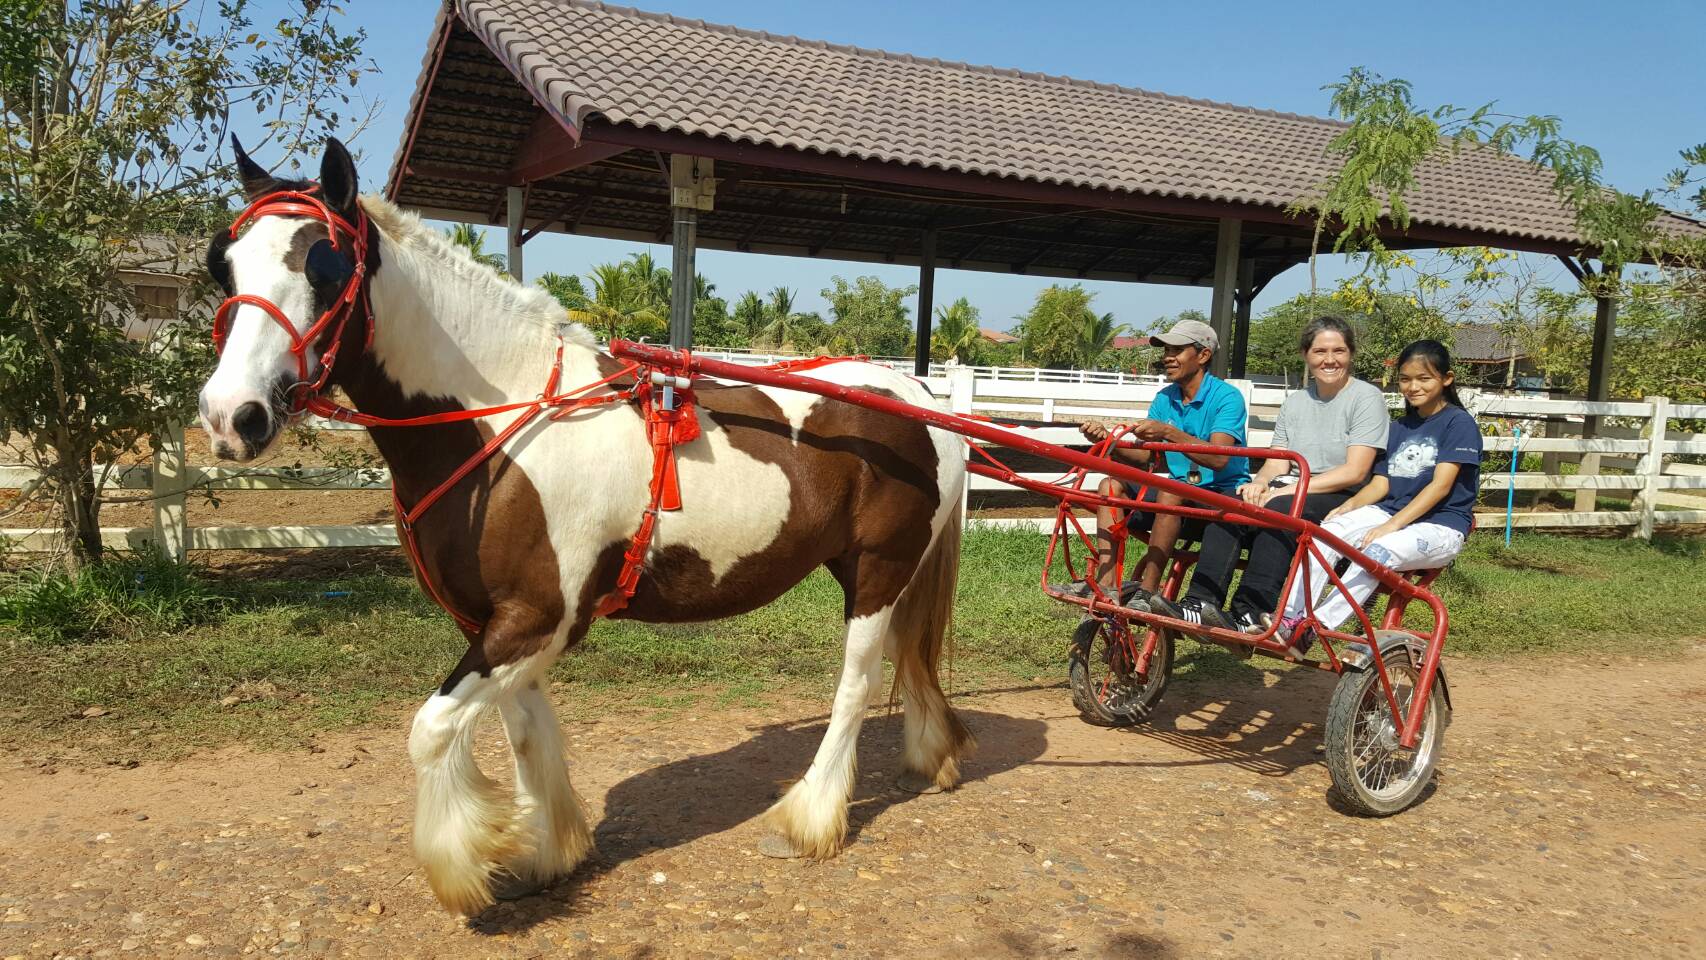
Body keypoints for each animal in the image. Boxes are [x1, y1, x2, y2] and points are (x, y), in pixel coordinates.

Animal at [198, 137, 971, 915]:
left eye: (323, 265)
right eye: (222, 263)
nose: (232, 416)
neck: (503, 419)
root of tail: (915, 392)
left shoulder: (538, 618)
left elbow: (432, 732)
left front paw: (467, 866)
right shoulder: (500, 625)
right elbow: (525, 735)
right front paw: (545, 851)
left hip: (878, 570)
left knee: (857, 682)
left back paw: (810, 816)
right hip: (871, 572)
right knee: (905, 656)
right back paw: (930, 757)